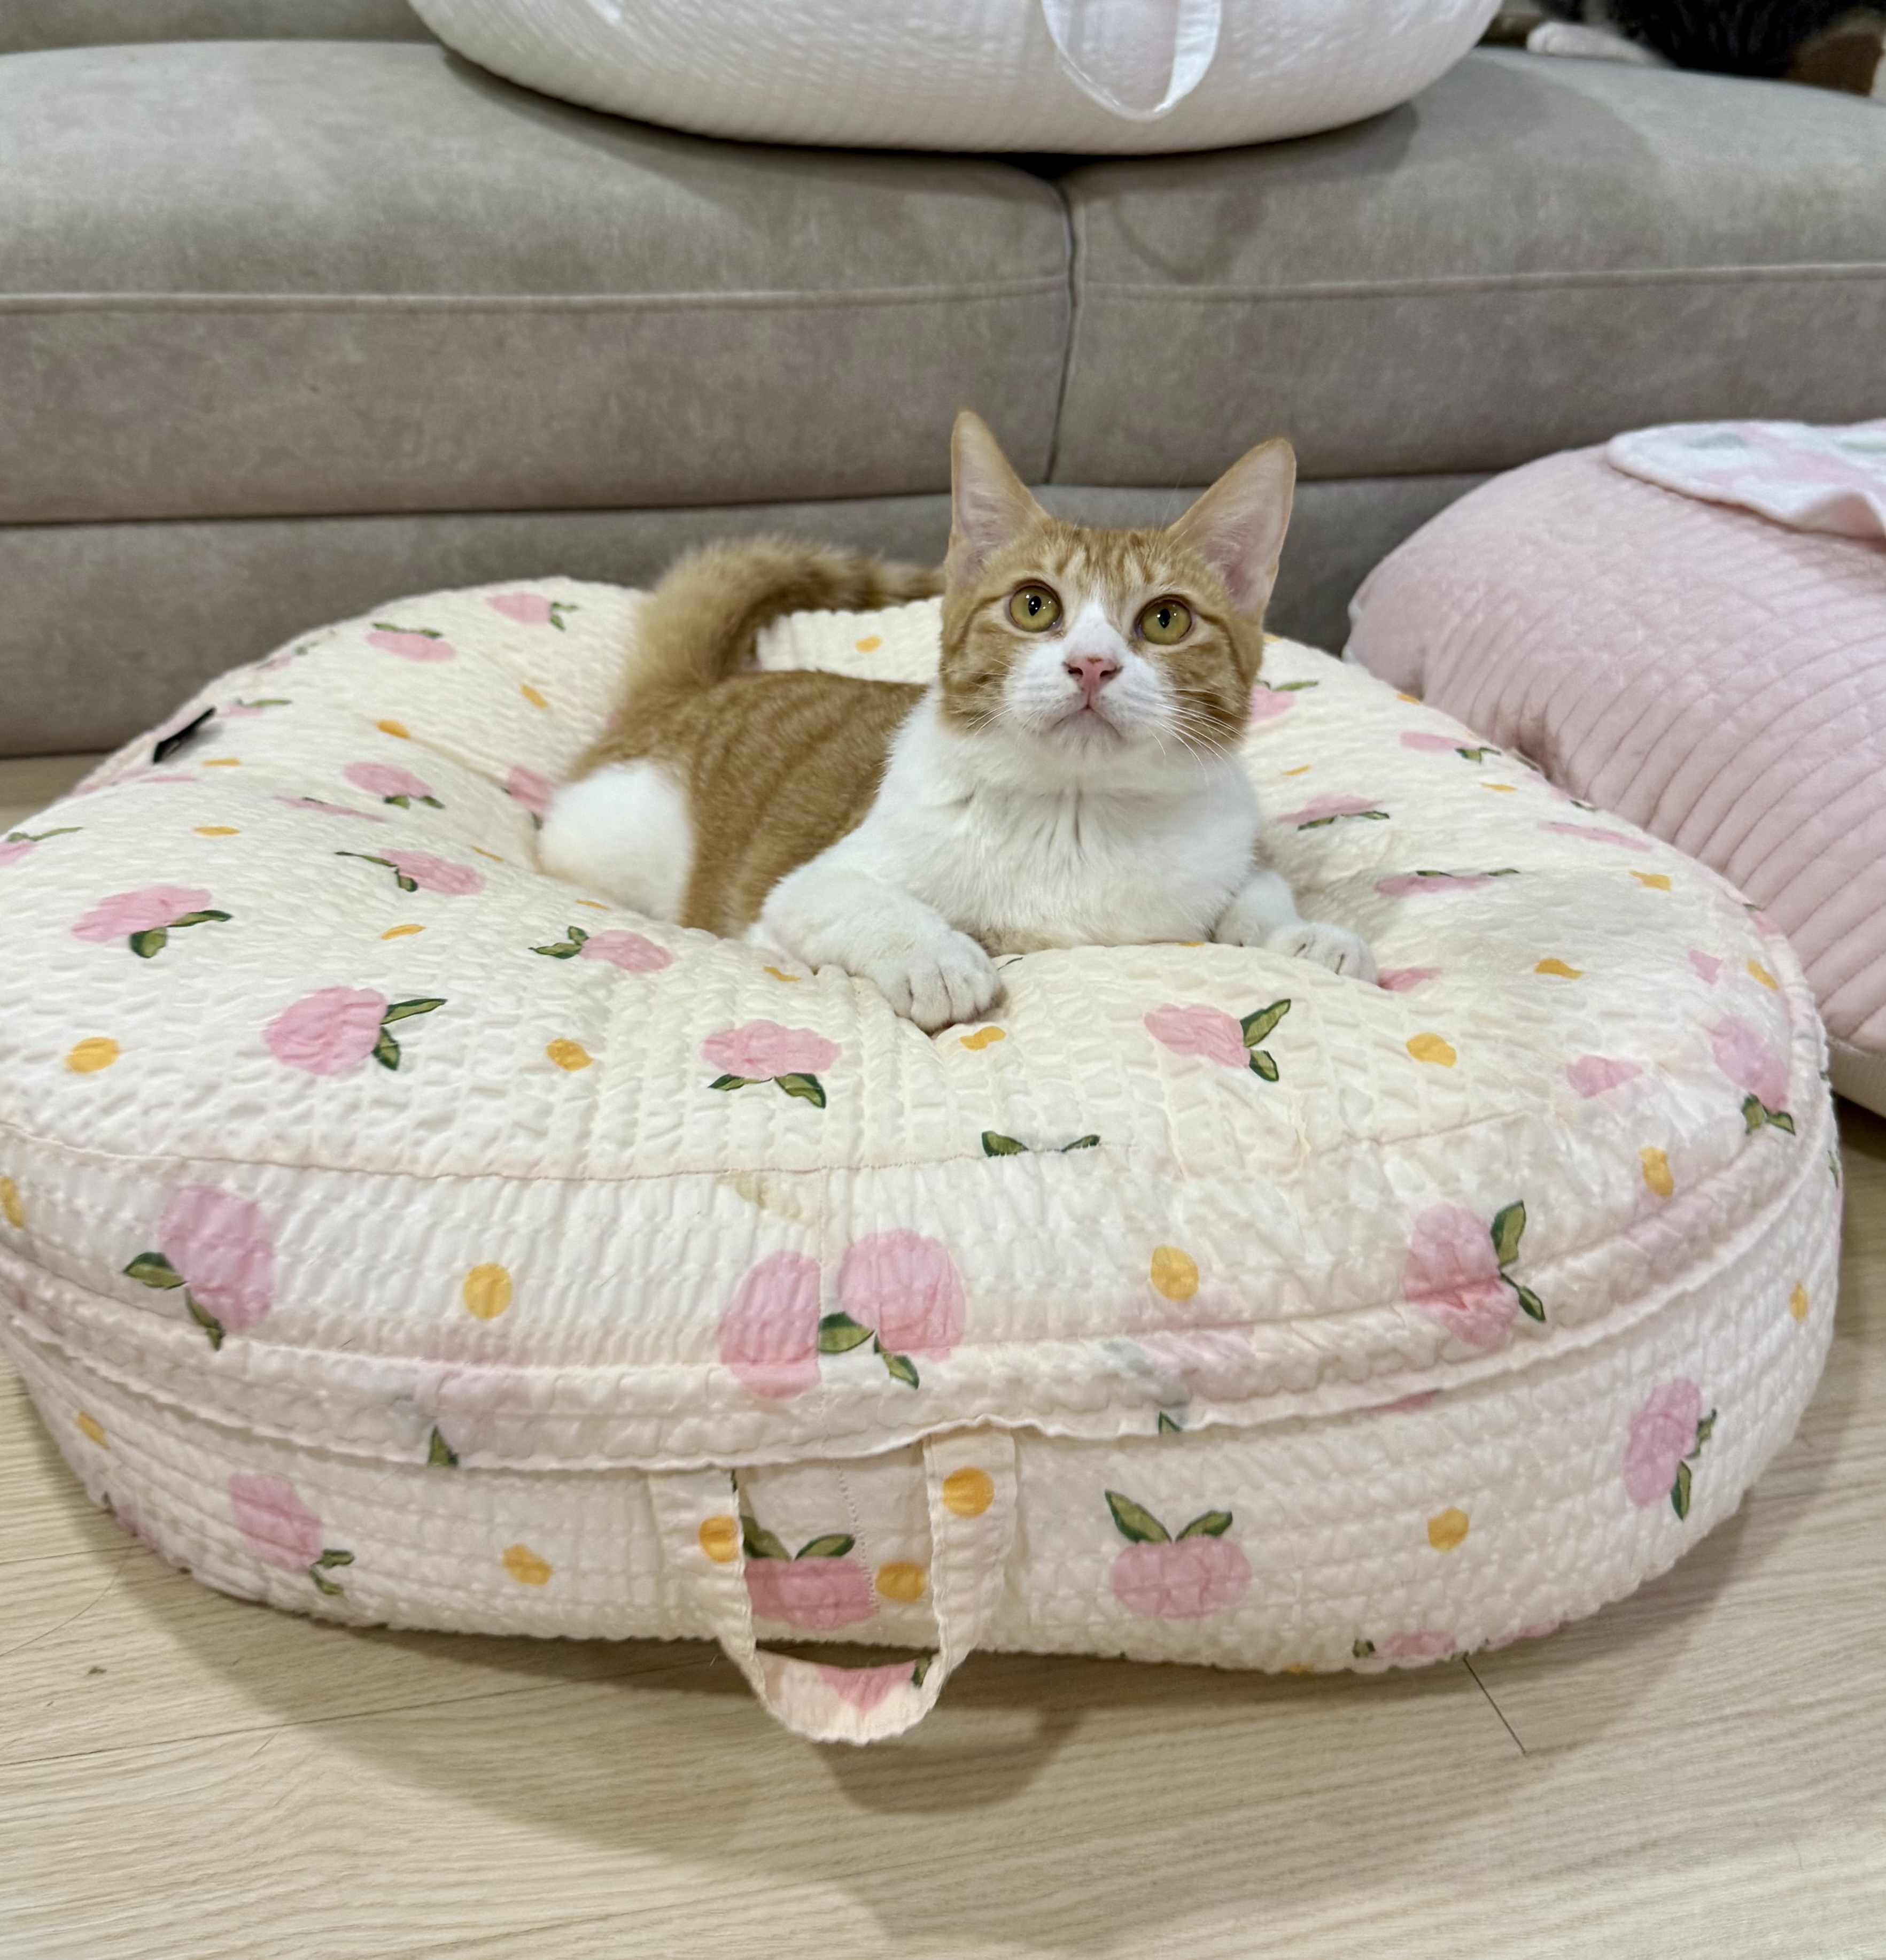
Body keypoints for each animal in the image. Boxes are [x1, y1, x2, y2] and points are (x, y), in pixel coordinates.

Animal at [538, 410, 1376, 1032]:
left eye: (1166, 620)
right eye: (1034, 605)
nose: (1092, 665)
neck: (1074, 817)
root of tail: (688, 687)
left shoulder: (1223, 855)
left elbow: (1257, 895)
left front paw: (1303, 936)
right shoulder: (793, 898)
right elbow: (859, 902)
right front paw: (934, 957)